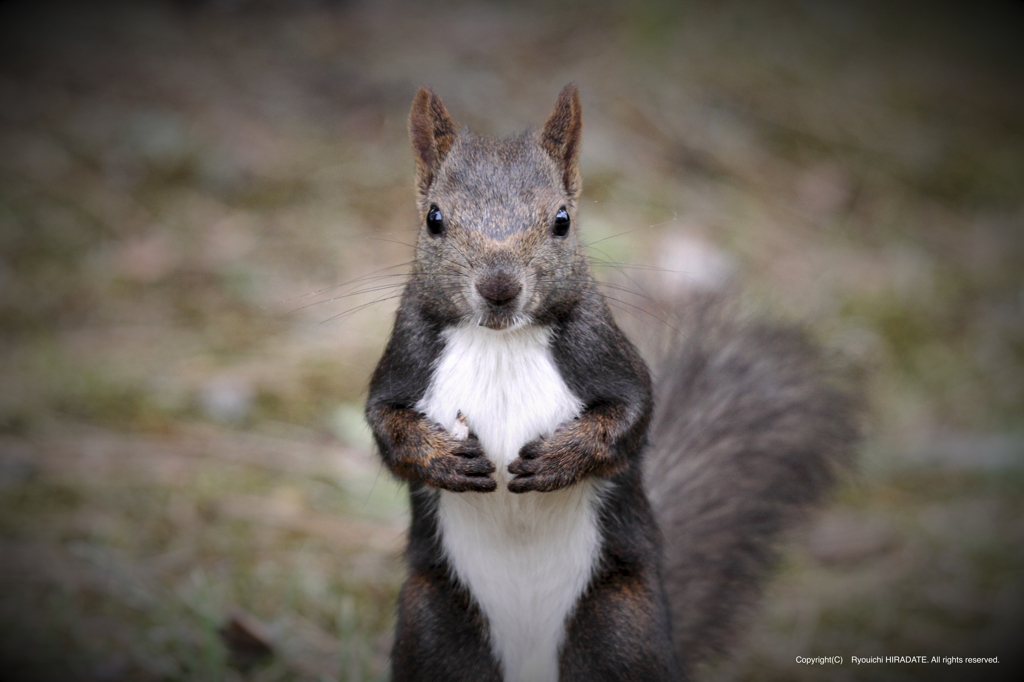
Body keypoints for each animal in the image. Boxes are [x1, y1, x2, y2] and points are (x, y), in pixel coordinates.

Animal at [364, 86, 860, 679]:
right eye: (434, 219)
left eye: (562, 219)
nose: (499, 286)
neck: (501, 342)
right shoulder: (406, 357)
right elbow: (385, 426)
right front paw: (440, 457)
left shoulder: (604, 353)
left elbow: (632, 415)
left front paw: (561, 458)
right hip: (433, 626)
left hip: (621, 626)